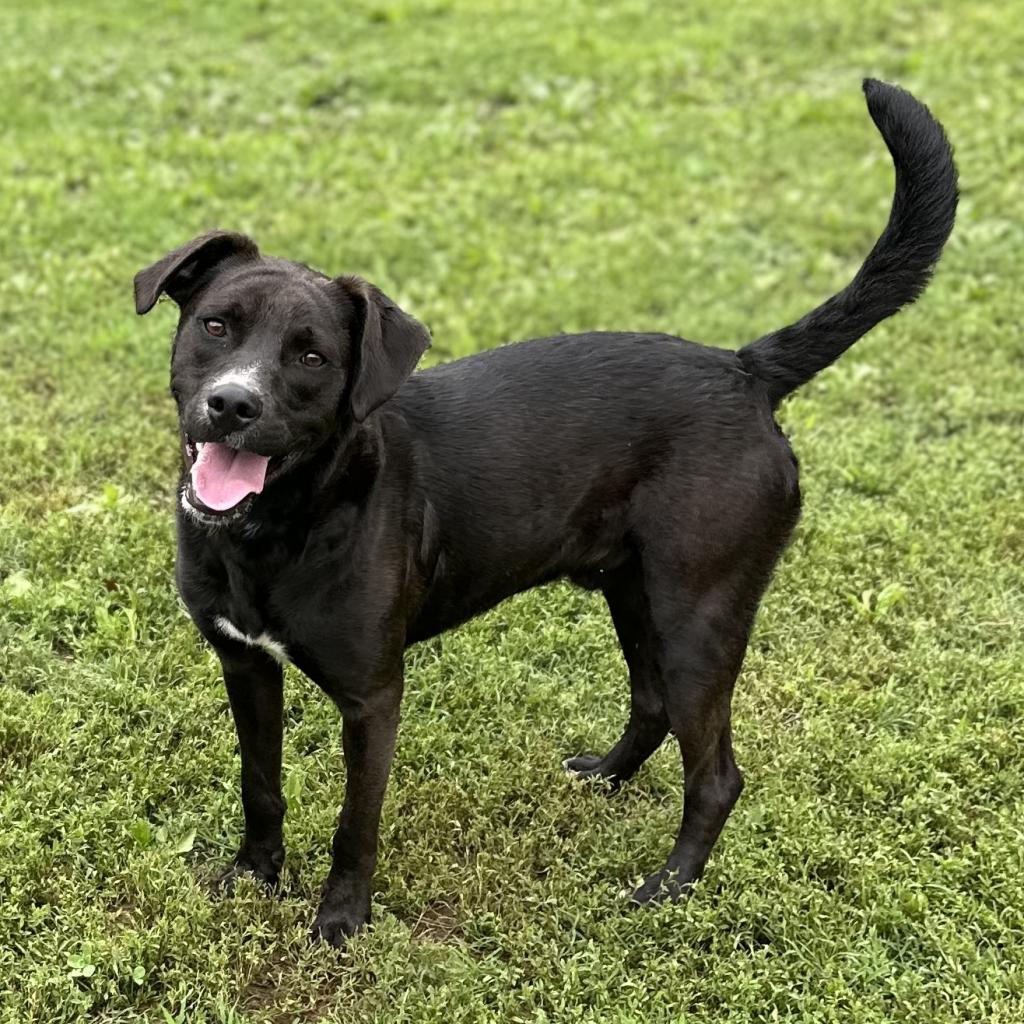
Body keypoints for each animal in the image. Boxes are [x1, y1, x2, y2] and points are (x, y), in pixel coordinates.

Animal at [134, 81, 950, 950]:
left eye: (313, 356)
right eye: (216, 325)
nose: (233, 405)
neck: (279, 529)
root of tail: (745, 371)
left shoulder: (372, 697)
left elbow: (357, 824)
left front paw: (340, 921)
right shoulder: (245, 664)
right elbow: (260, 783)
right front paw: (254, 876)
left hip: (700, 615)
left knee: (717, 775)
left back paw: (669, 886)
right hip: (633, 591)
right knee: (652, 704)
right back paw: (608, 776)